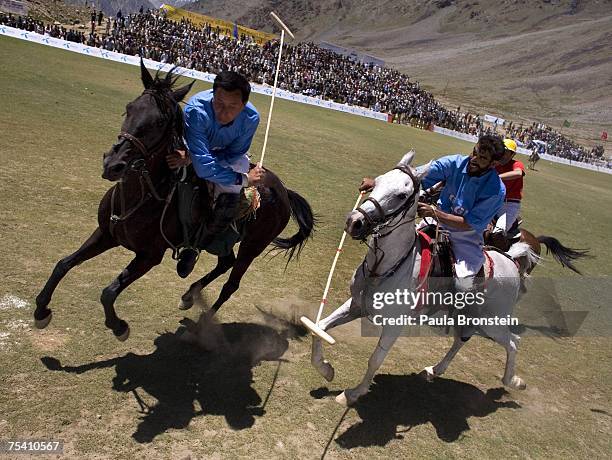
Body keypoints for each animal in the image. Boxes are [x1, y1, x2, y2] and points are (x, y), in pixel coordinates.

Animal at [34, 62, 316, 342]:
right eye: (129, 107)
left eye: (159, 121)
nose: (113, 165)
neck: (142, 195)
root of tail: (283, 190)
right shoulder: (106, 234)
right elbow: (64, 264)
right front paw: (41, 310)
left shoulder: (149, 256)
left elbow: (109, 291)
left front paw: (119, 326)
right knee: (225, 262)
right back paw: (188, 294)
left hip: (253, 246)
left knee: (231, 284)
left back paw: (202, 324)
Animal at [314, 152, 536, 406]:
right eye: (377, 182)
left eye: (401, 195)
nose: (354, 222)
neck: (387, 265)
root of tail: (511, 260)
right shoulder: (356, 305)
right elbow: (320, 327)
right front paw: (326, 369)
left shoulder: (394, 325)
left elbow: (375, 359)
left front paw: (353, 393)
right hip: (467, 317)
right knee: (462, 340)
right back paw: (434, 370)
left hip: (492, 322)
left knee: (513, 342)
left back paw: (514, 382)